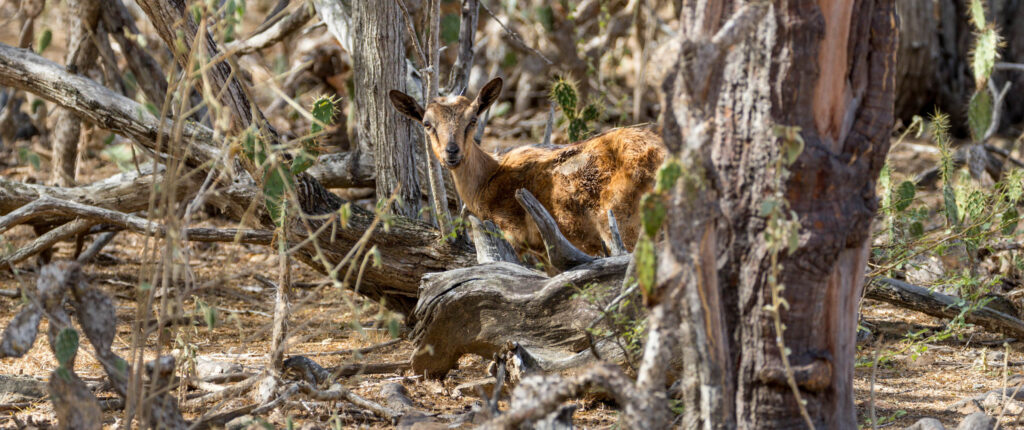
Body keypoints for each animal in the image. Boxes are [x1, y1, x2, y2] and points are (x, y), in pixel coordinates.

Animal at [389, 77, 663, 254]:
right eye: (427, 123)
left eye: (473, 119)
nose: (452, 152)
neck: (489, 177)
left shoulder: (513, 234)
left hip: (624, 225)